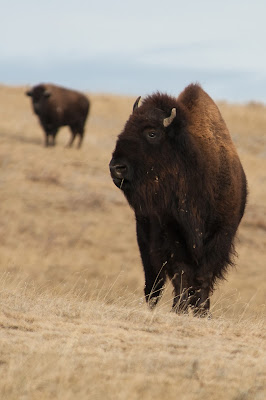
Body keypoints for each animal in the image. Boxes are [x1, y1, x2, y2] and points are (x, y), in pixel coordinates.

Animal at [110, 83, 247, 316]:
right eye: (126, 127)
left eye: (152, 133)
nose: (116, 167)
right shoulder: (173, 233)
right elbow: (182, 274)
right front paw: (180, 310)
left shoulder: (220, 234)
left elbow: (203, 275)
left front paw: (203, 312)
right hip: (145, 242)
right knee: (154, 283)